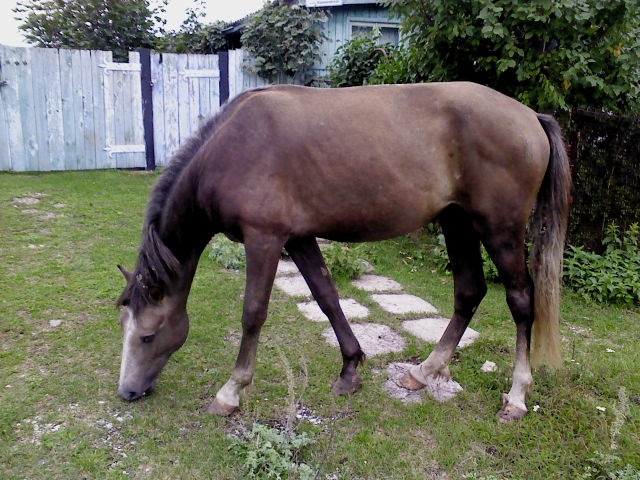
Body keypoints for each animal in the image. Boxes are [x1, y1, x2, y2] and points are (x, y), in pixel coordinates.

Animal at [117, 81, 572, 420]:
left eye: (148, 335)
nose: (128, 392)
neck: (231, 148)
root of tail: (530, 115)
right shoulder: (298, 238)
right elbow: (327, 297)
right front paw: (351, 368)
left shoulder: (265, 239)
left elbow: (253, 314)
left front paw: (231, 392)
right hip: (457, 221)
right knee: (469, 291)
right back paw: (423, 372)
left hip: (500, 230)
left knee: (521, 301)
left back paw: (517, 397)